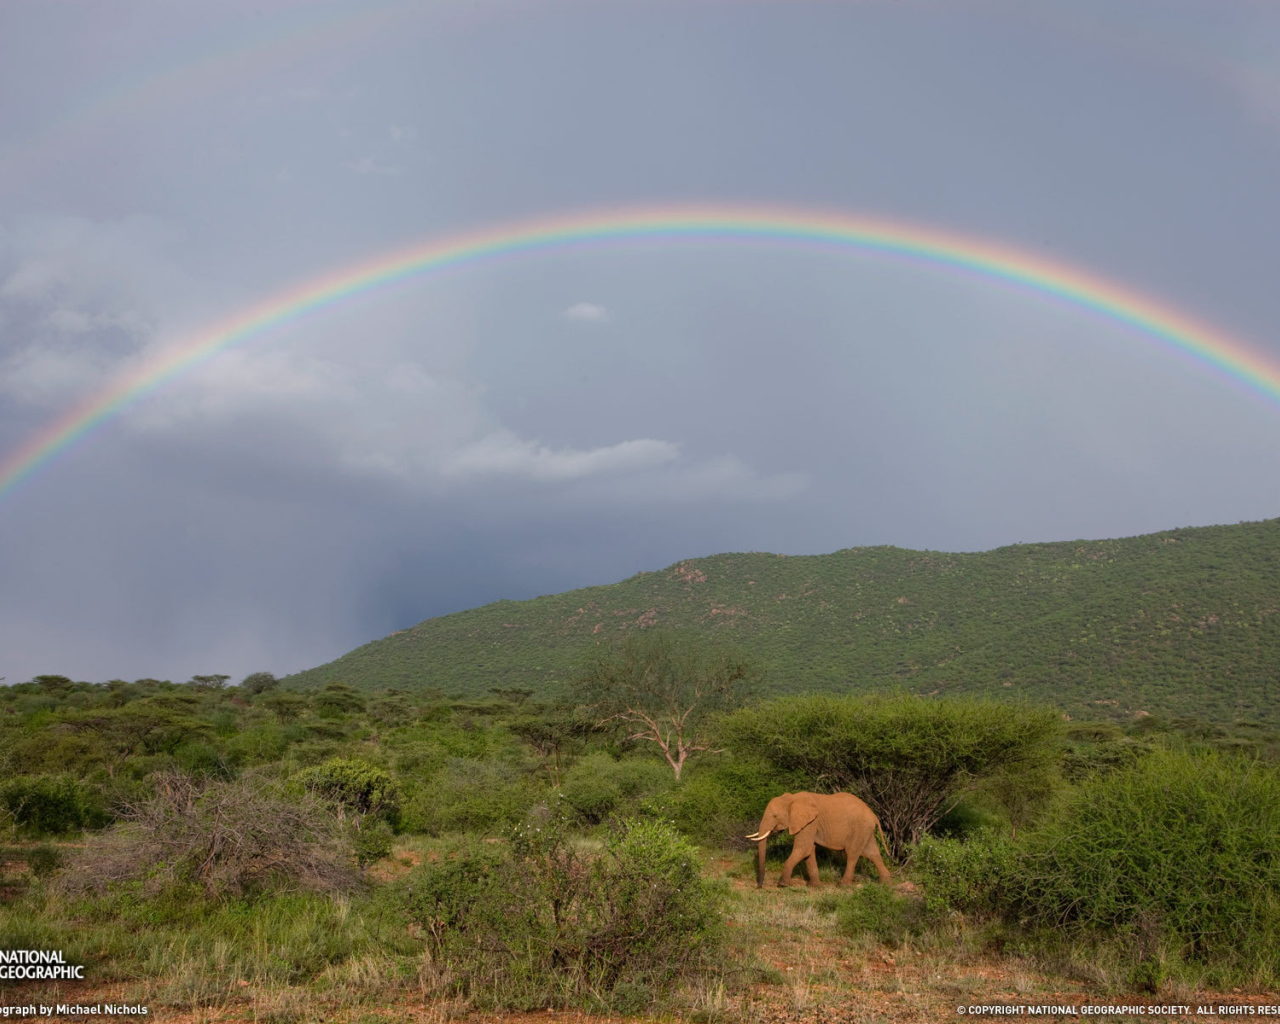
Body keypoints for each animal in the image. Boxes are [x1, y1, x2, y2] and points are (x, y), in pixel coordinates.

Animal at [747, 791, 891, 888]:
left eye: (775, 816)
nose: (759, 886)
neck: (792, 798)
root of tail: (874, 815)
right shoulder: (810, 824)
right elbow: (809, 851)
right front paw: (814, 886)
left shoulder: (810, 823)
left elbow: (803, 849)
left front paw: (782, 884)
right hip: (865, 830)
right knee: (872, 853)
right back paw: (885, 883)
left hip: (859, 828)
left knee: (852, 854)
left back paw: (842, 885)